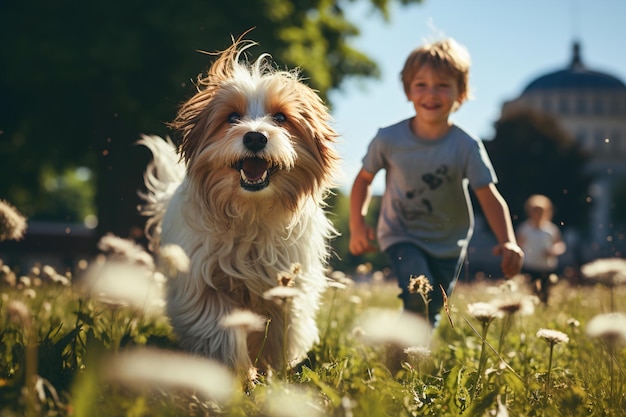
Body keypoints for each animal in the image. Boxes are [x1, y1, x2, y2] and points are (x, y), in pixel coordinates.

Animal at [139, 37, 338, 372]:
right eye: (232, 118)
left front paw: (273, 371)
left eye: (280, 118)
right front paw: (233, 372)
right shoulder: (202, 286)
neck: (251, 212)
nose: (256, 137)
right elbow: (220, 330)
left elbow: (281, 331)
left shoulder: (286, 285)